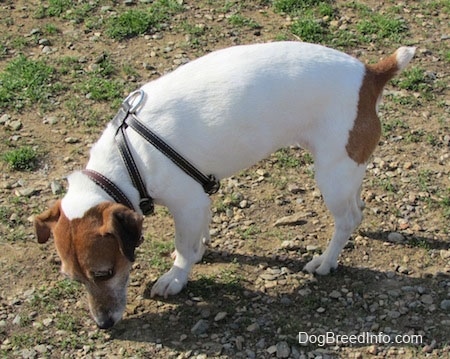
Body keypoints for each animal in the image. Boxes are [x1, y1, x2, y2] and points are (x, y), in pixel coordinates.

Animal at [34, 42, 414, 330]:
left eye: (105, 273)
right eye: (74, 279)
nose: (104, 325)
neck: (127, 159)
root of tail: (370, 74)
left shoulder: (186, 203)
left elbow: (183, 248)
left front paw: (176, 277)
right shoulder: (200, 200)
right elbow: (198, 236)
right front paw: (200, 250)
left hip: (330, 174)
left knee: (347, 218)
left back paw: (326, 261)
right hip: (346, 171)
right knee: (357, 207)